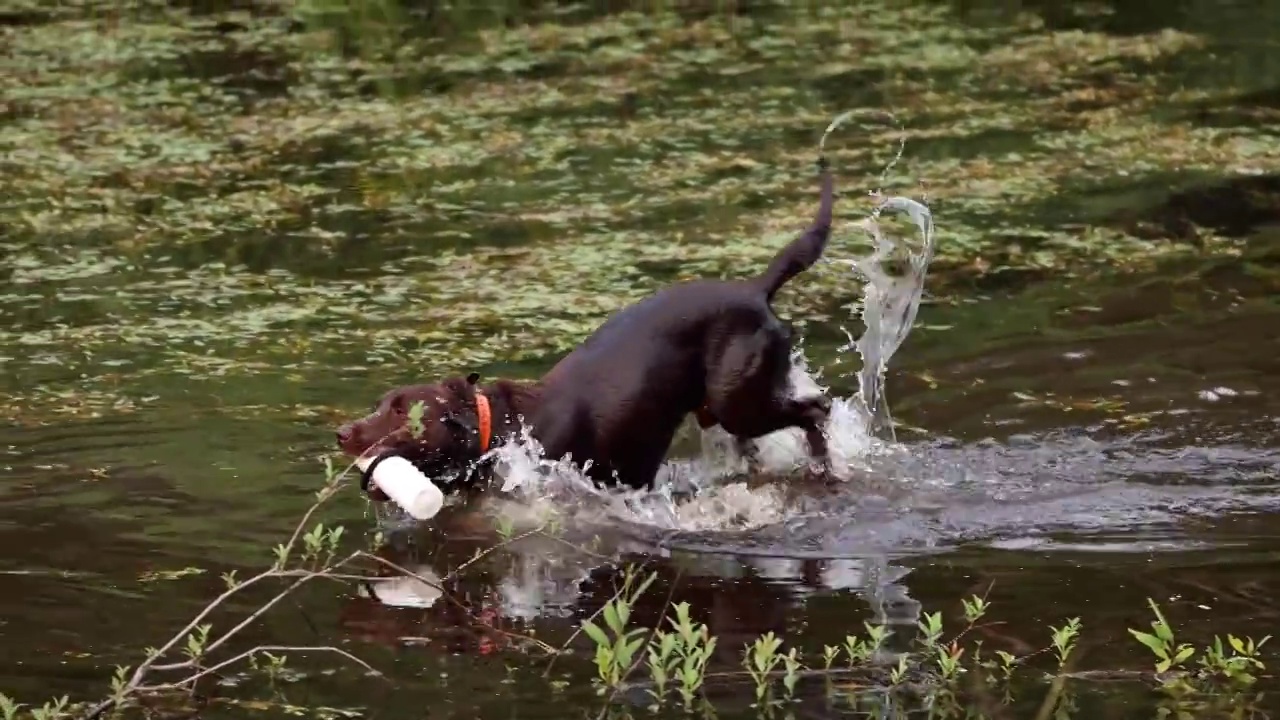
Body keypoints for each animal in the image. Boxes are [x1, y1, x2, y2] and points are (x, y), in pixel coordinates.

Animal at [335, 156, 834, 491]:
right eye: (382, 405)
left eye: (404, 412)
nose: (342, 433)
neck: (503, 430)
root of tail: (755, 288)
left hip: (738, 401)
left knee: (817, 411)